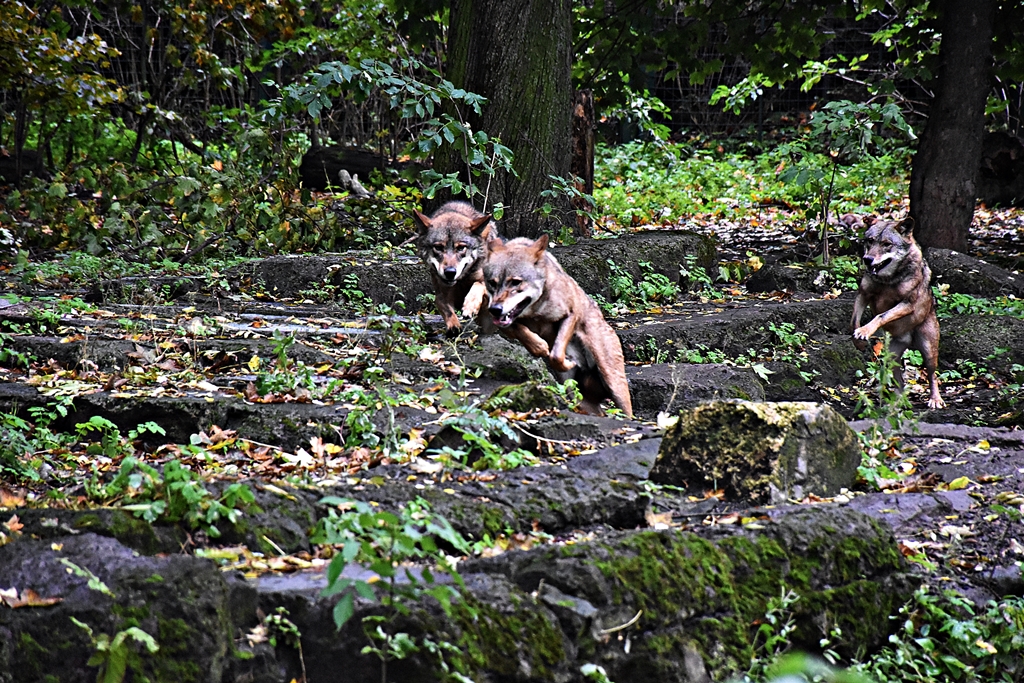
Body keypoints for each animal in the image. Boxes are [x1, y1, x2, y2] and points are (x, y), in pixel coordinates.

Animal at [414, 201, 496, 337]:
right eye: (438, 247)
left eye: (461, 248)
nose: (450, 272)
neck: (461, 281)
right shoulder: (441, 295)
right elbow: (447, 310)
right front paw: (454, 327)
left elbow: (478, 285)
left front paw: (469, 306)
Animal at [483, 234, 634, 417]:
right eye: (492, 283)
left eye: (515, 282)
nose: (495, 309)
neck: (536, 310)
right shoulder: (503, 324)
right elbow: (523, 332)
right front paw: (540, 347)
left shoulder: (570, 314)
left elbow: (556, 354)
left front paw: (562, 359)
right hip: (580, 399)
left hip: (614, 384)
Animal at [850, 217, 945, 409]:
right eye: (870, 241)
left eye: (886, 244)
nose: (867, 259)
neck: (887, 280)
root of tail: (909, 341)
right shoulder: (863, 295)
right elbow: (854, 320)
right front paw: (859, 340)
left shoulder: (906, 304)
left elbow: (880, 316)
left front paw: (864, 331)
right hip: (889, 358)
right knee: (900, 383)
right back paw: (897, 404)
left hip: (928, 351)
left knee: (932, 375)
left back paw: (935, 399)